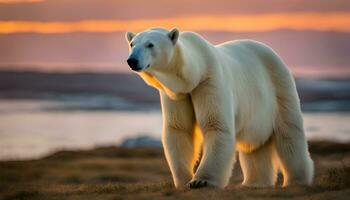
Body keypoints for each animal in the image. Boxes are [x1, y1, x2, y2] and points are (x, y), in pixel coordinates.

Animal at [125, 27, 314, 188]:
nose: (132, 60)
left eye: (150, 44)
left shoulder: (209, 81)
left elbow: (216, 125)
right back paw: (254, 182)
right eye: (132, 44)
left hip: (279, 84)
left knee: (289, 131)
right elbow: (179, 129)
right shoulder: (175, 94)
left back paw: (297, 180)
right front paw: (184, 180)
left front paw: (201, 181)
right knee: (256, 146)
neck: (194, 74)